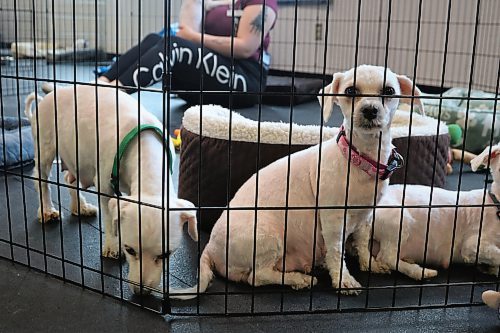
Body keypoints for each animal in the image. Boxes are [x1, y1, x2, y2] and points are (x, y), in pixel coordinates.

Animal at [23, 85, 198, 294]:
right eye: (129, 249)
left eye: (165, 255)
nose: (140, 292)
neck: (143, 149)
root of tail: (50, 94)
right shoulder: (105, 186)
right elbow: (108, 217)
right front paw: (112, 246)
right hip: (45, 147)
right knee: (42, 181)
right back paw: (47, 210)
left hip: (78, 158)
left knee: (69, 179)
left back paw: (79, 206)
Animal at [170, 65, 424, 298]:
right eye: (351, 91)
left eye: (389, 91)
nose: (370, 110)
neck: (358, 158)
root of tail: (209, 249)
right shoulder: (333, 220)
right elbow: (336, 252)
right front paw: (343, 280)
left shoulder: (366, 216)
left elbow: (362, 244)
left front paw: (369, 264)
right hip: (267, 234)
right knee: (257, 276)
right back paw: (298, 279)